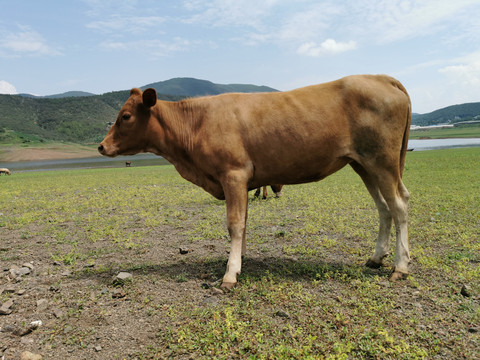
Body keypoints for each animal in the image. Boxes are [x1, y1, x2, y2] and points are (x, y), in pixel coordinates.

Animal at [98, 75, 412, 290]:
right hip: (363, 164)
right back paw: (376, 258)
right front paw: (241, 259)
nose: (101, 146)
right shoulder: (242, 180)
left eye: (125, 116)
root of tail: (380, 77)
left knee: (399, 206)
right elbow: (244, 221)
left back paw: (400, 266)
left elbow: (235, 223)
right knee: (384, 208)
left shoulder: (233, 174)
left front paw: (230, 273)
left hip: (382, 162)